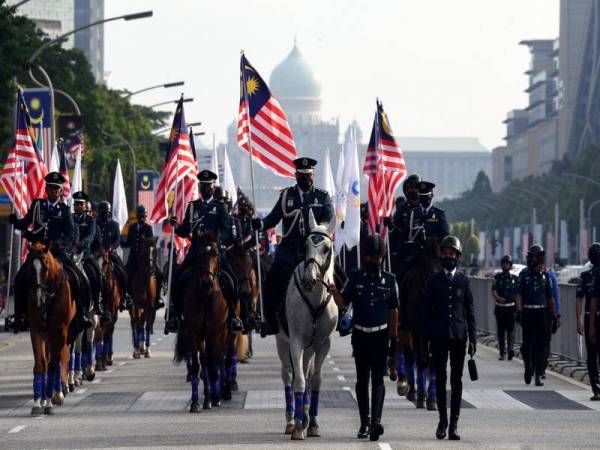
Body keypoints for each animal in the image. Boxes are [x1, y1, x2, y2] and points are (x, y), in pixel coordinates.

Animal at [25, 243, 76, 414]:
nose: (38, 300)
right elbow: (41, 364)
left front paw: (49, 402)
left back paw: (59, 392)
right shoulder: (36, 331)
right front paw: (37, 403)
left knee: (62, 356)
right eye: (30, 269)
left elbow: (54, 364)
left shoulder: (60, 331)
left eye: (46, 268)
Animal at [173, 234, 232, 414]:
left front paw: (214, 397)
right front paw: (197, 402)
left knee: (219, 359)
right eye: (198, 255)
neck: (206, 295)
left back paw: (220, 392)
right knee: (205, 361)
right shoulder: (194, 332)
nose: (207, 282)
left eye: (216, 254)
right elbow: (198, 366)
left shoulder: (215, 332)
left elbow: (214, 363)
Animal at [276, 210, 338, 440]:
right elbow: (299, 381)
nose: (309, 279)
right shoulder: (295, 341)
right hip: (282, 342)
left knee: (305, 370)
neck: (315, 298)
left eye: (326, 248)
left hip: (310, 347)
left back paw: (304, 417)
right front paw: (298, 427)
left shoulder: (323, 343)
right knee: (288, 374)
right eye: (305, 246)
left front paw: (312, 423)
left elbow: (315, 379)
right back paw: (292, 420)